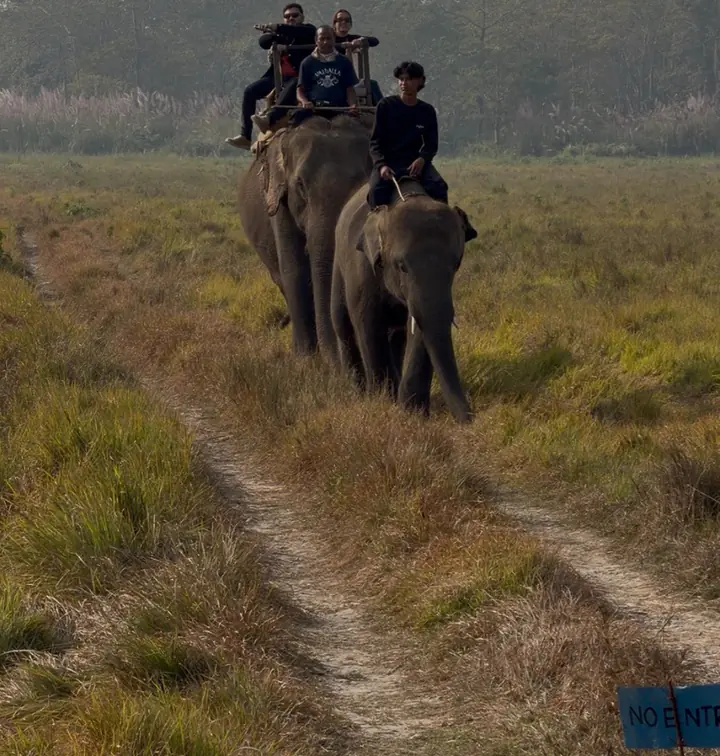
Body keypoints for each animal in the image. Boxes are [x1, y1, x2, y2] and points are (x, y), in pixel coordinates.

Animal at [238, 115, 373, 360]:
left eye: (360, 181)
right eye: (300, 184)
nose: (335, 359)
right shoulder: (279, 198)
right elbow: (294, 267)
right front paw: (305, 359)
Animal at [331, 179, 477, 423]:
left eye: (456, 264)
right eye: (402, 266)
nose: (471, 418)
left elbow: (418, 327)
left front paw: (411, 411)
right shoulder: (362, 269)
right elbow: (368, 324)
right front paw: (382, 402)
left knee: (397, 337)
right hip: (339, 263)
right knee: (343, 324)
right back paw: (358, 391)